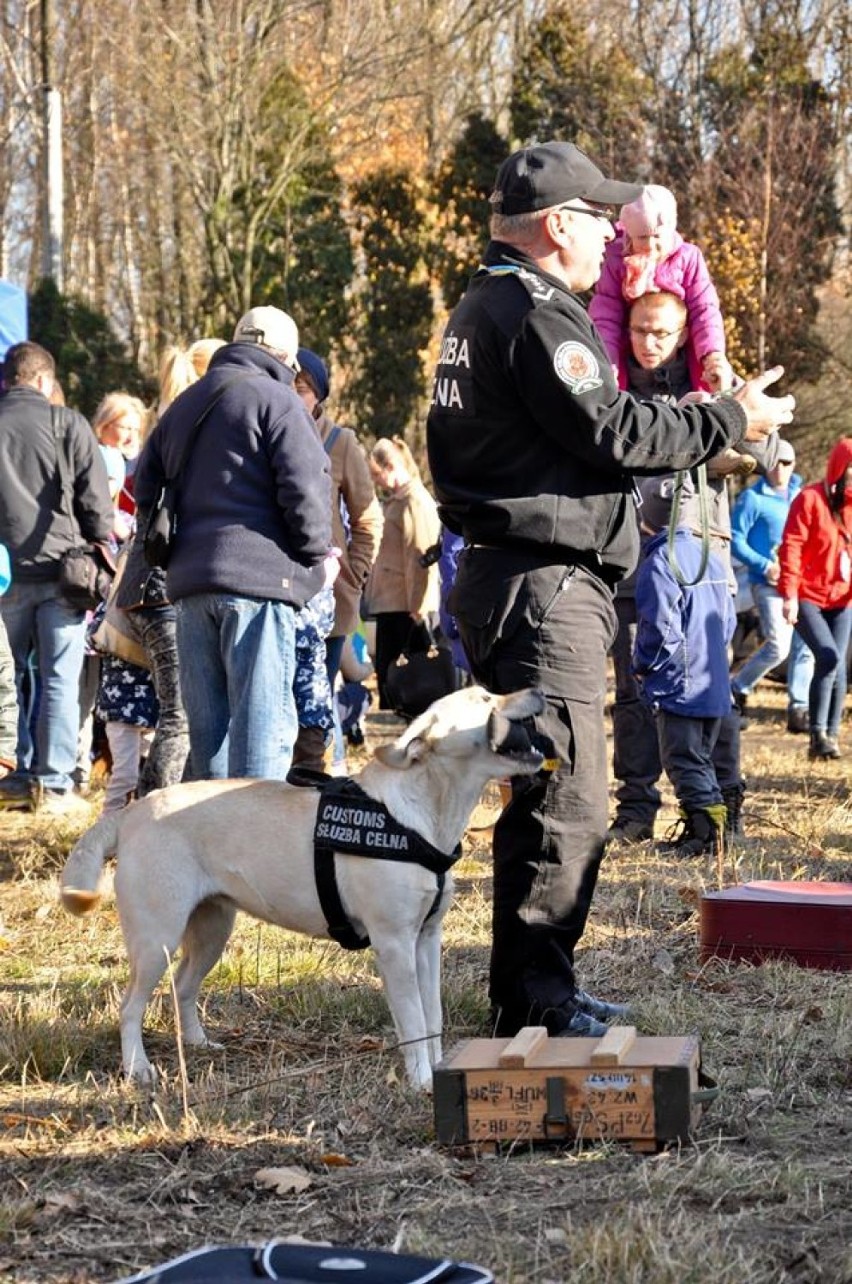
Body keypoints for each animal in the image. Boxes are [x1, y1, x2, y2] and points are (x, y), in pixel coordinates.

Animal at [63, 688, 549, 1088]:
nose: (539, 691)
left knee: (182, 987)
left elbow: (433, 1017)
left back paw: (198, 1043)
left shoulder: (427, 940)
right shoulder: (394, 944)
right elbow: (412, 1021)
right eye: (485, 699)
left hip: (212, 930)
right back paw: (138, 1069)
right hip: (156, 939)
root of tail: (133, 813)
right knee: (130, 1007)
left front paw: (437, 1068)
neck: (420, 816)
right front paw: (423, 1082)